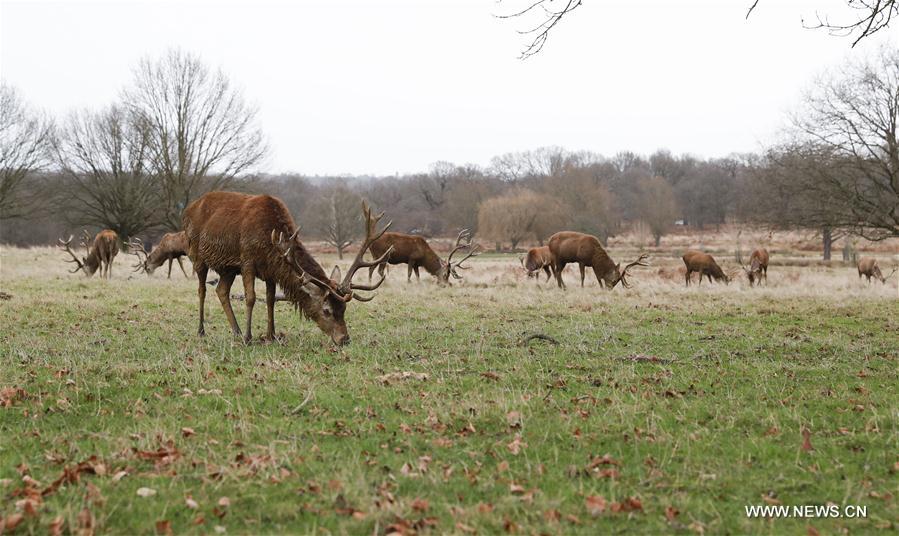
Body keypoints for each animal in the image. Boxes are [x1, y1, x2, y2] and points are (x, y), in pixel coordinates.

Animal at [182, 191, 392, 346]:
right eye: (326, 310)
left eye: (344, 308)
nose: (344, 339)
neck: (270, 241)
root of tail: (187, 209)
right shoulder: (247, 260)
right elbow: (251, 298)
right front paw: (249, 338)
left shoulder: (270, 270)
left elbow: (270, 300)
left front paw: (271, 335)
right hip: (197, 254)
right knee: (202, 289)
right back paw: (202, 331)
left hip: (228, 268)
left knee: (221, 290)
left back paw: (236, 331)